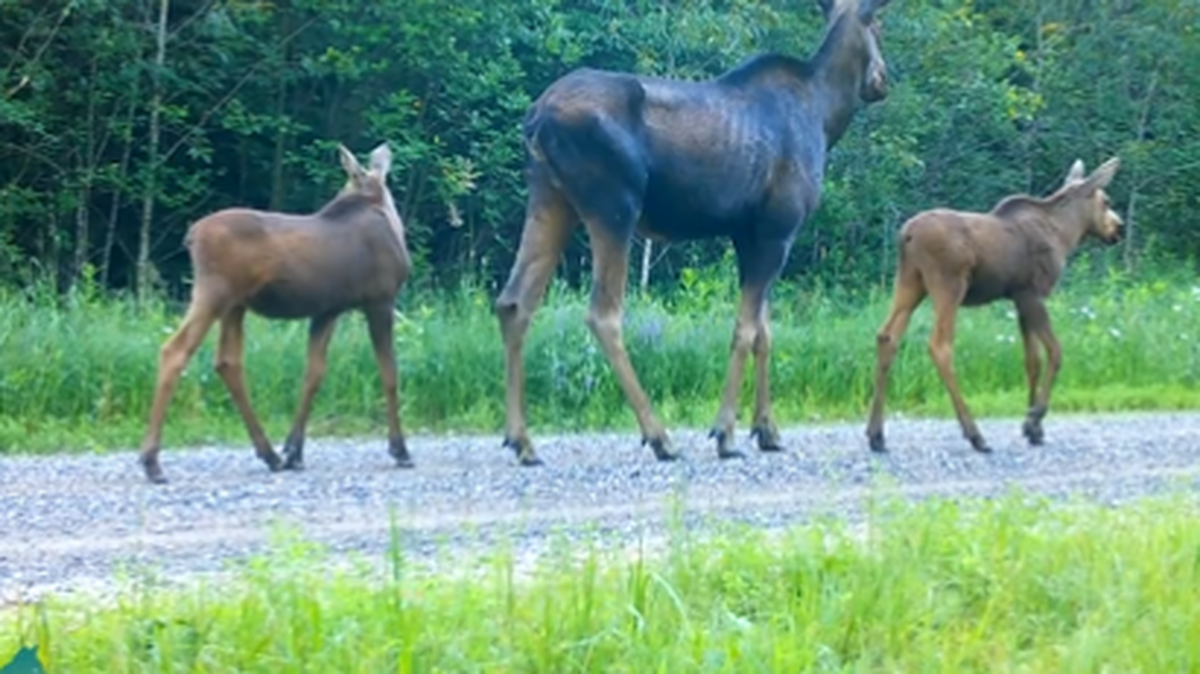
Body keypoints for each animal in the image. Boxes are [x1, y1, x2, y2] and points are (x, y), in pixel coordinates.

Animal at [138, 142, 413, 484]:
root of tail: (191, 236)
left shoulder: (327, 311)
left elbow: (313, 374)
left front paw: (294, 450)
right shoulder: (380, 299)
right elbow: (389, 373)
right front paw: (400, 449)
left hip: (235, 304)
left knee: (227, 362)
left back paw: (269, 454)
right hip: (214, 293)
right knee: (175, 351)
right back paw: (152, 461)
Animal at [493, 0, 895, 466]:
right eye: (877, 27)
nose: (882, 79)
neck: (827, 115)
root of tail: (536, 118)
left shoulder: (749, 234)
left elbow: (765, 332)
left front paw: (767, 430)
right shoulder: (779, 229)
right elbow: (745, 330)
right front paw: (725, 433)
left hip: (549, 198)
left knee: (514, 302)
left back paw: (522, 440)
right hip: (614, 206)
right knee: (603, 314)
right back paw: (659, 436)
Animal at [866, 156, 1123, 454]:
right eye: (1106, 201)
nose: (1119, 228)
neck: (1065, 235)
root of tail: (905, 235)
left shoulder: (1019, 298)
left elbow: (1032, 360)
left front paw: (1033, 429)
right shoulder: (1032, 293)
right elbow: (1055, 353)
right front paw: (1034, 418)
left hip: (910, 282)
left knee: (887, 336)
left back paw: (876, 435)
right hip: (948, 285)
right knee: (939, 346)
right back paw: (975, 435)